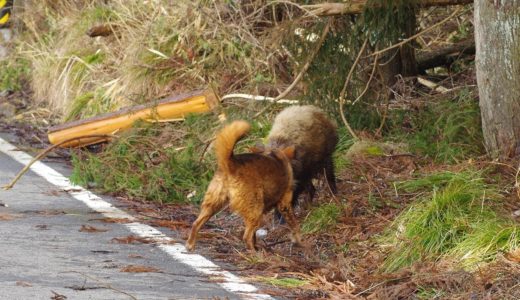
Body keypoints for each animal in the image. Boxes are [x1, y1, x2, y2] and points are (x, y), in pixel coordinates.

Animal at [186, 119, 300, 251]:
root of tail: (231, 164)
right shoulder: (285, 204)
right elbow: (294, 224)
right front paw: (298, 239)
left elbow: (255, 235)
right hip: (255, 210)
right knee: (246, 236)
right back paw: (254, 253)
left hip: (213, 204)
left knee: (196, 223)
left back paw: (190, 245)